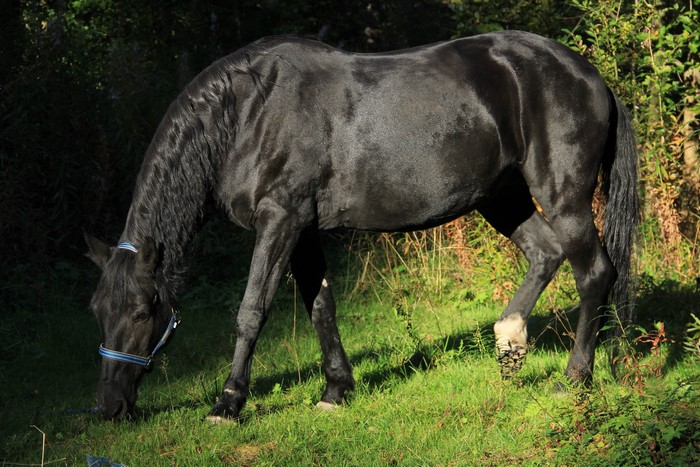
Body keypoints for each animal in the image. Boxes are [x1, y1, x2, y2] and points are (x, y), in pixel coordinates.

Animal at [85, 29, 638, 422]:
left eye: (143, 311)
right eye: (96, 310)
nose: (109, 406)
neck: (248, 113)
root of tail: (591, 76)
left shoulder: (280, 219)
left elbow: (251, 311)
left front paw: (228, 403)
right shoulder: (303, 228)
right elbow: (321, 306)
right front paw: (336, 390)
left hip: (563, 196)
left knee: (594, 273)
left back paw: (573, 378)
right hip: (502, 198)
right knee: (546, 254)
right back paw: (510, 339)